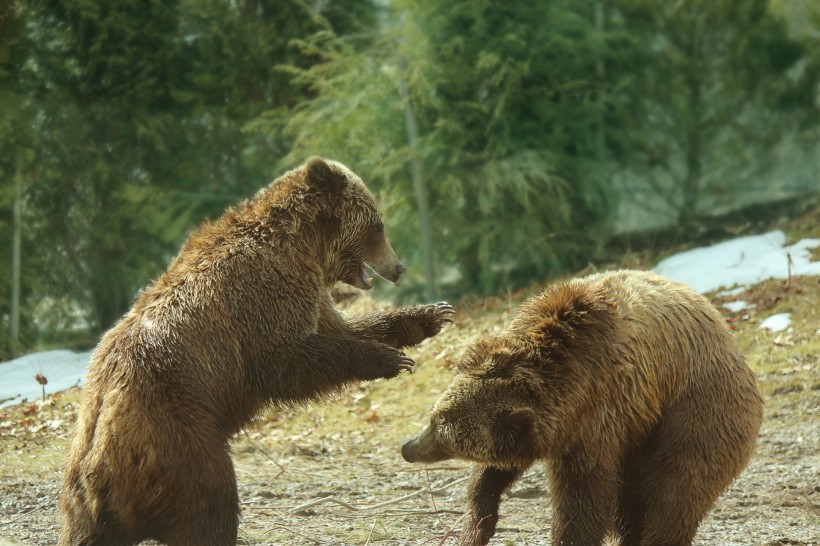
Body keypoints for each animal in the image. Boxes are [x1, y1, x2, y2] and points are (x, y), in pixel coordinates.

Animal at [57, 157, 454, 544]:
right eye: (377, 226)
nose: (399, 267)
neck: (304, 248)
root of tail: (97, 466)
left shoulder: (311, 298)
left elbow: (341, 327)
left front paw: (430, 316)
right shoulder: (262, 297)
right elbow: (286, 362)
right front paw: (388, 359)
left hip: (83, 495)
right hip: (179, 437)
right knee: (212, 504)